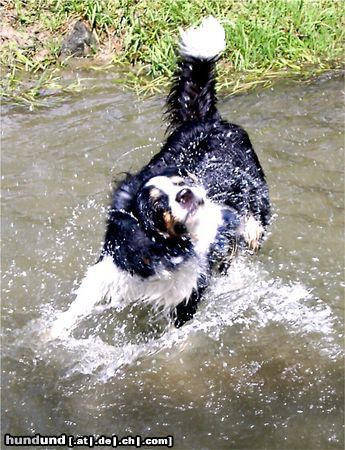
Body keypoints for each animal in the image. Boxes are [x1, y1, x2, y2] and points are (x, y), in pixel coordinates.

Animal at [49, 16, 268, 338]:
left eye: (183, 183)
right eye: (156, 203)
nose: (187, 194)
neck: (164, 250)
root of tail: (208, 121)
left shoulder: (186, 298)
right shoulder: (109, 272)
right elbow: (72, 312)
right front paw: (45, 337)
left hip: (255, 219)